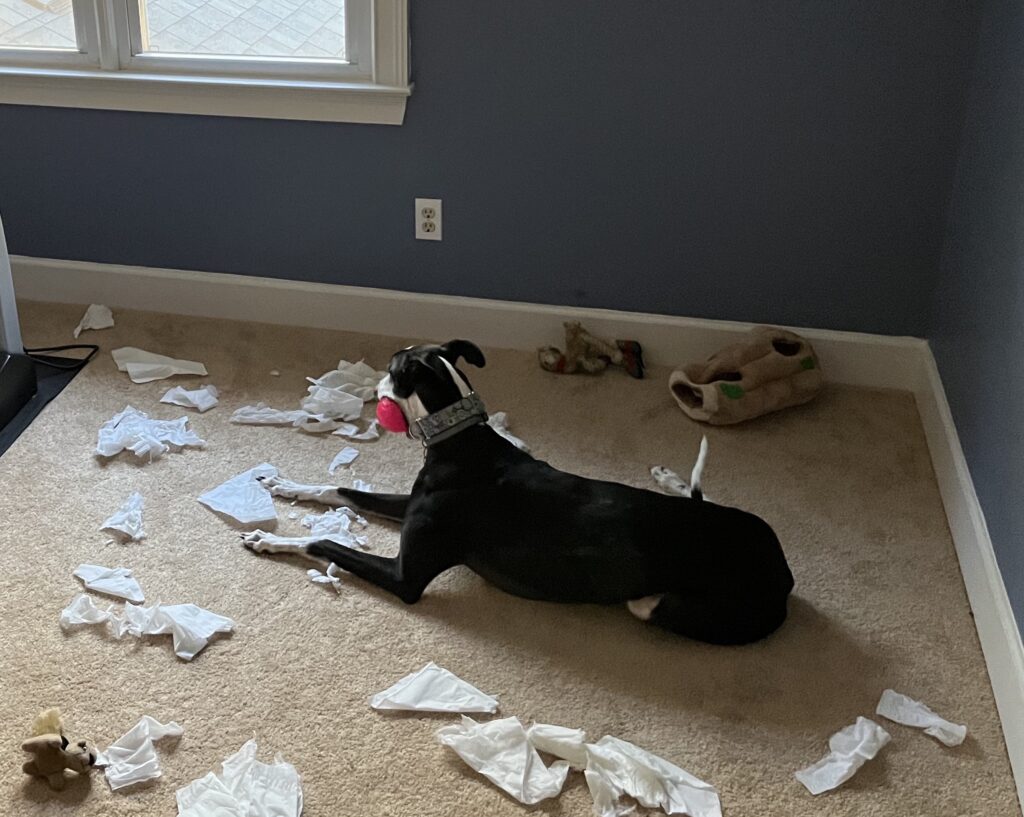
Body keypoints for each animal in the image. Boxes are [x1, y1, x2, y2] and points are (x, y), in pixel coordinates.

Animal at [243, 339, 794, 647]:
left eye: (393, 368)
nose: (376, 388)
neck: (463, 441)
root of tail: (783, 574)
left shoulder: (406, 576)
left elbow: (324, 543)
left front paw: (268, 541)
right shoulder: (412, 503)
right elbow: (338, 489)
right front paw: (285, 485)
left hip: (665, 605)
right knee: (701, 496)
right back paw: (669, 477)